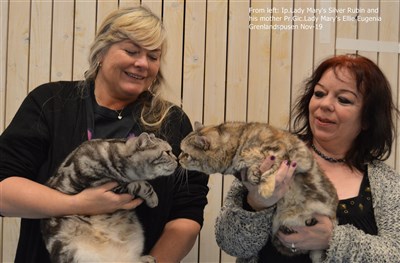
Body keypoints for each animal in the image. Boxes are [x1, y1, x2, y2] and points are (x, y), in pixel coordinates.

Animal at [178, 122, 338, 262]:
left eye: (186, 154)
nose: (178, 159)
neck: (238, 144)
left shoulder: (277, 151)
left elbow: (271, 171)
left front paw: (266, 188)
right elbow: (251, 170)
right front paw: (253, 175)